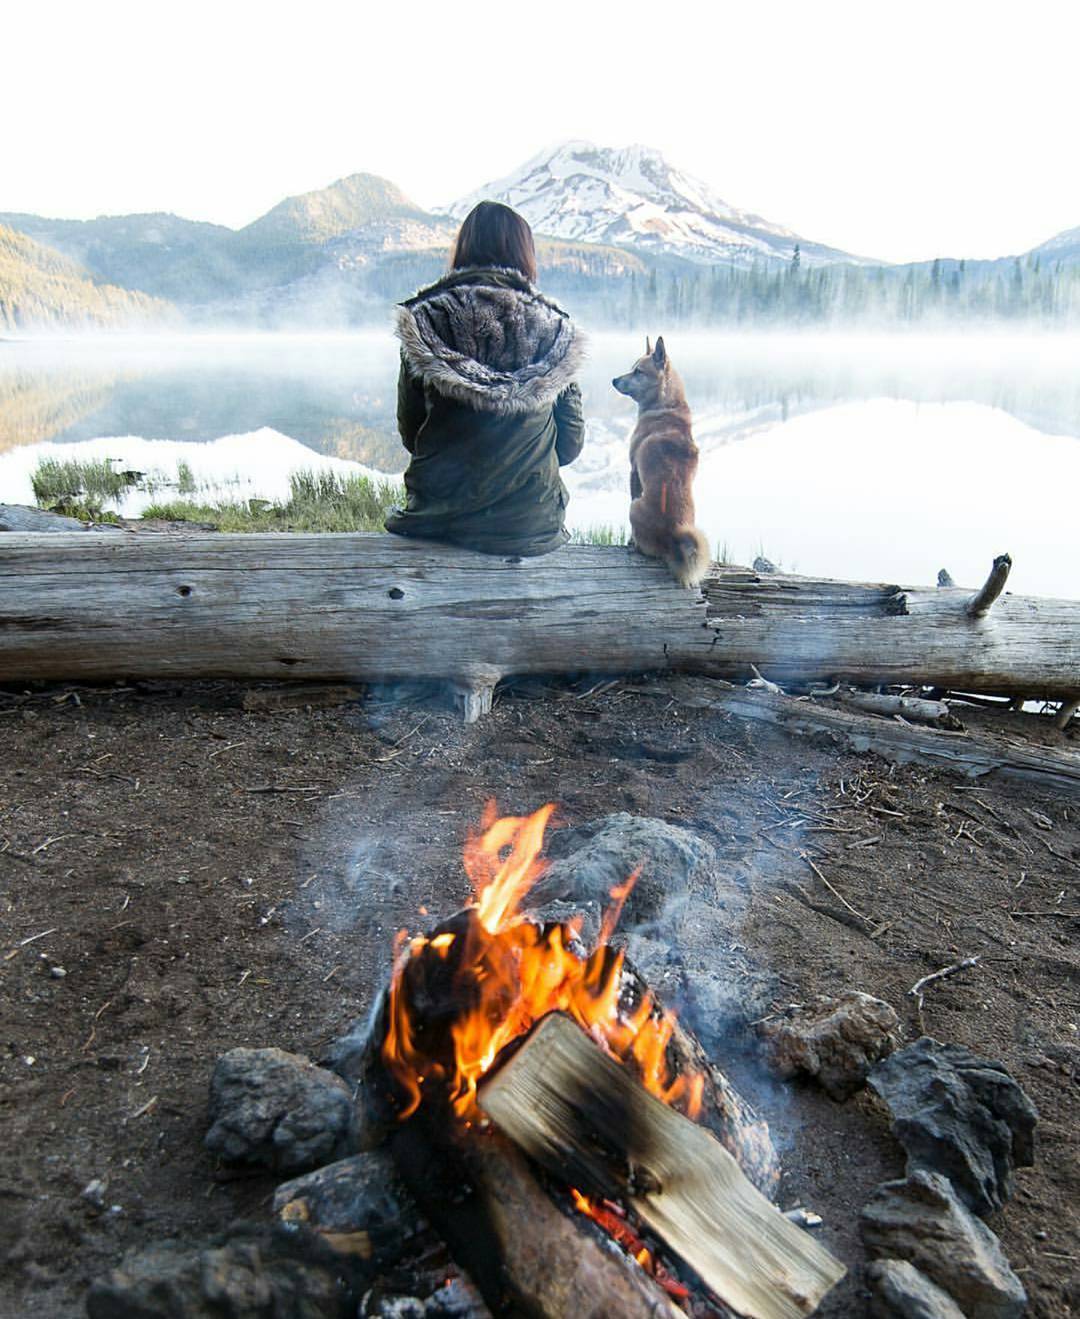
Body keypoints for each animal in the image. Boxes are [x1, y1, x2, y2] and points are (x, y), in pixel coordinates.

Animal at [611, 337, 712, 590]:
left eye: (638, 371)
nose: (614, 380)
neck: (666, 407)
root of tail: (673, 535)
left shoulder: (633, 471)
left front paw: (630, 540)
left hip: (634, 507)